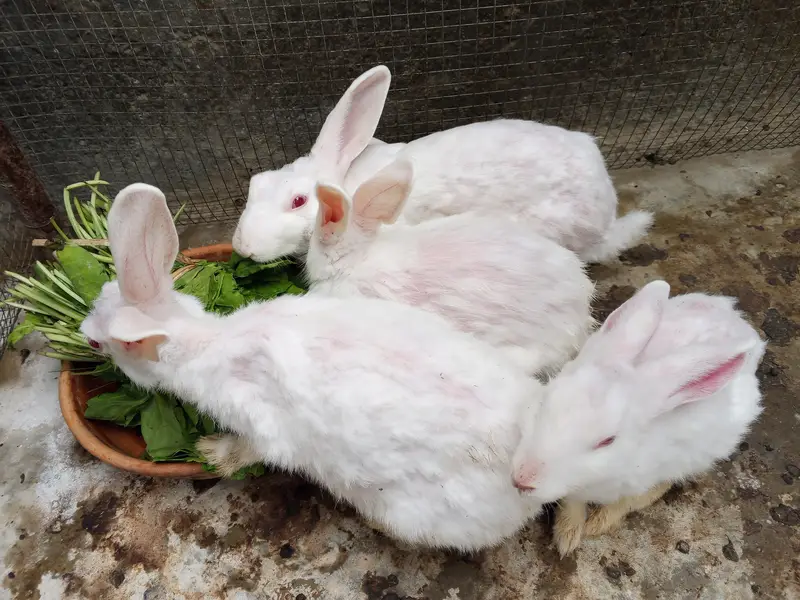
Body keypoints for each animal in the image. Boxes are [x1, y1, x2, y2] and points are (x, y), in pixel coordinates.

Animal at [81, 182, 548, 551]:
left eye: (96, 342)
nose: (82, 331)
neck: (207, 345)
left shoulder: (260, 424)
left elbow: (253, 449)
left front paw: (211, 451)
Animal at [509, 280, 766, 557]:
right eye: (544, 401)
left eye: (607, 441)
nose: (523, 479)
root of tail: (731, 313)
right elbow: (574, 502)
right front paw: (568, 535)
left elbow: (628, 502)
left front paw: (595, 525)